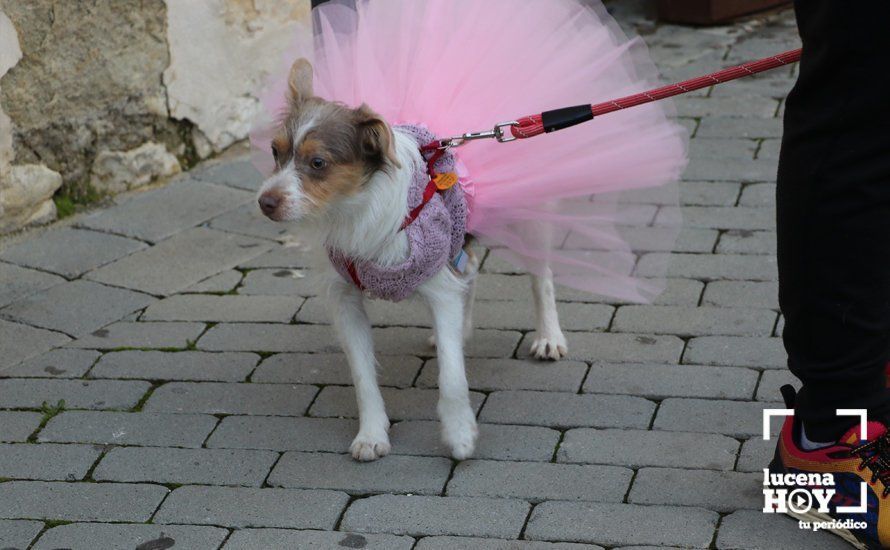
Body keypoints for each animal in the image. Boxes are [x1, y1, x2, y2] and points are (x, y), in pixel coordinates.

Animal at [256, 57, 564, 462]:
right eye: (275, 152)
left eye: (318, 162)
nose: (265, 202)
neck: (355, 209)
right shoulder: (345, 300)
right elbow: (363, 377)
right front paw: (372, 434)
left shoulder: (438, 285)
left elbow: (452, 376)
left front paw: (460, 434)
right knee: (470, 271)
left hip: (531, 214)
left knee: (541, 277)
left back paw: (549, 337)